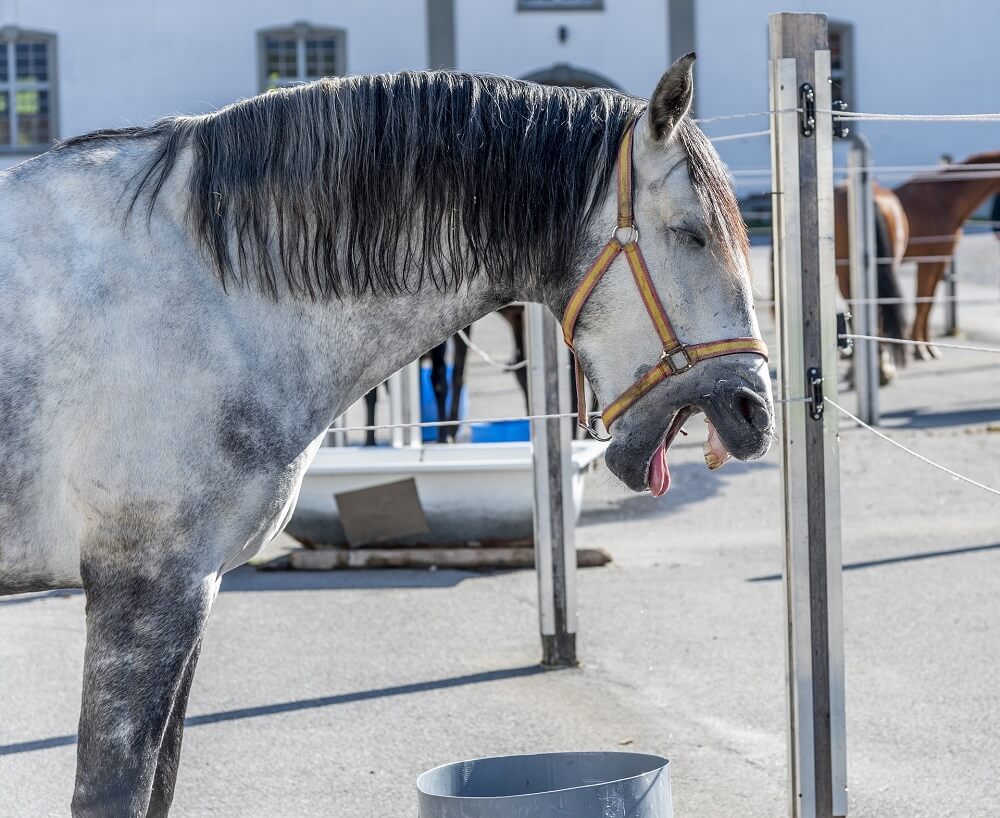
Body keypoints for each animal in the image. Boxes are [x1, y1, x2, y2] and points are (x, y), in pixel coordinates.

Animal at [0, 54, 772, 812]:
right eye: (692, 233)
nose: (752, 411)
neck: (205, 288)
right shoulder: (147, 588)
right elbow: (114, 791)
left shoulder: (193, 585)